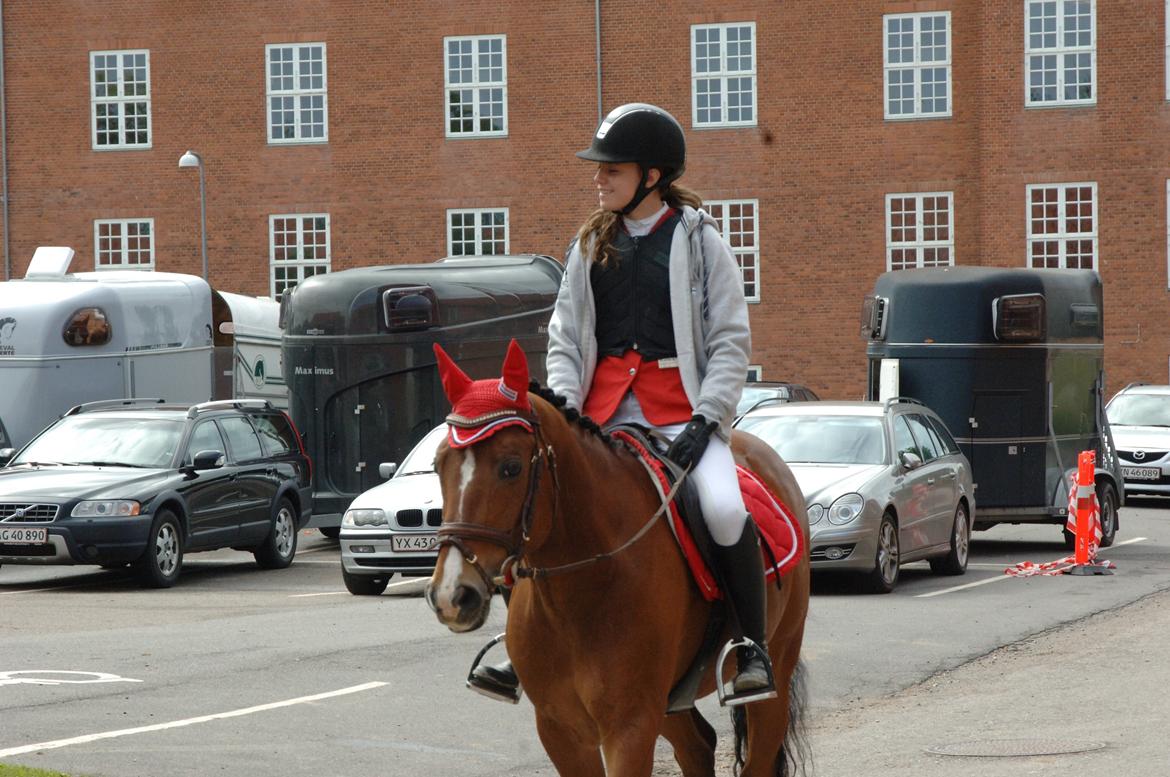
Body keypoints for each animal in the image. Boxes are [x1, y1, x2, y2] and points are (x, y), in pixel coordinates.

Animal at [425, 344, 809, 777]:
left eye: (511, 467)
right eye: (439, 464)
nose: (451, 595)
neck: (577, 596)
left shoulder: (630, 726)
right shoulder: (560, 729)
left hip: (775, 673)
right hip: (670, 702)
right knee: (698, 746)